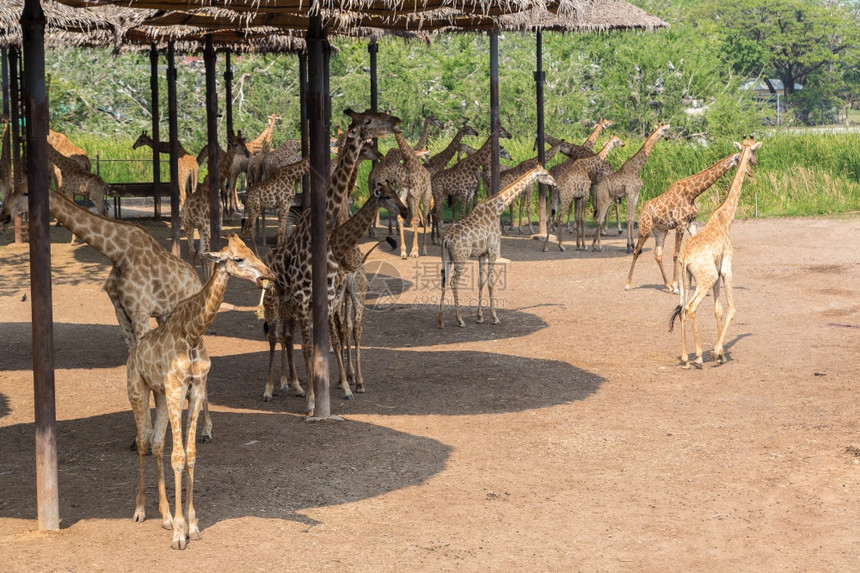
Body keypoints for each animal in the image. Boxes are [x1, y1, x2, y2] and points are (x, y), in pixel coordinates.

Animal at [127, 233, 274, 548]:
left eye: (252, 252)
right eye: (238, 258)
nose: (268, 275)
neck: (193, 333)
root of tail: (135, 351)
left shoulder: (194, 391)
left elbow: (191, 454)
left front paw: (190, 525)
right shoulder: (175, 389)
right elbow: (178, 457)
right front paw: (179, 535)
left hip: (159, 394)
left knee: (157, 443)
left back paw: (165, 517)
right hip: (137, 389)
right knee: (143, 442)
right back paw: (141, 510)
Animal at [624, 149, 752, 290]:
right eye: (740, 159)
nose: (750, 172)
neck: (692, 193)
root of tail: (644, 209)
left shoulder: (690, 223)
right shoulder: (680, 224)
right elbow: (676, 254)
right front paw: (676, 285)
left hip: (660, 230)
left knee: (657, 254)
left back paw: (667, 285)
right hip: (645, 228)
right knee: (637, 250)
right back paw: (628, 284)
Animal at [668, 137, 764, 366]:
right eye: (754, 152)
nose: (753, 167)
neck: (725, 220)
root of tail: (685, 257)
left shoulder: (718, 272)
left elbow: (718, 310)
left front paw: (720, 355)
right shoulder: (726, 267)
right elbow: (732, 309)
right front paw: (717, 351)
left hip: (686, 279)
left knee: (682, 309)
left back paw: (685, 358)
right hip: (706, 277)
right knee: (691, 308)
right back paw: (698, 356)